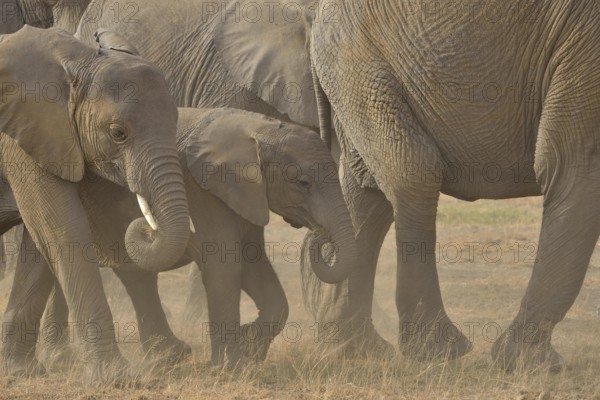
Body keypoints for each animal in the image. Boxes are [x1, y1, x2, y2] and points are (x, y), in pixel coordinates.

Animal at [0, 26, 190, 382]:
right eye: (117, 133)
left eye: (175, 120)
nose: (148, 225)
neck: (77, 59)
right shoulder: (23, 136)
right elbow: (64, 228)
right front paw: (116, 378)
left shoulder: (60, 137)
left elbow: (44, 238)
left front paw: (20, 372)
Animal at [2, 106, 356, 368]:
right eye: (303, 183)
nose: (321, 237)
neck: (258, 127)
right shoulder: (202, 189)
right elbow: (224, 264)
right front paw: (228, 366)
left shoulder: (245, 195)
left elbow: (255, 266)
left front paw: (249, 349)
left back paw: (166, 358)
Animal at [302, 0, 600, 372]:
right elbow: (573, 164)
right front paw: (532, 364)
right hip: (359, 60)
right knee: (413, 173)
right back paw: (438, 349)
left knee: (367, 192)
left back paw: (354, 349)